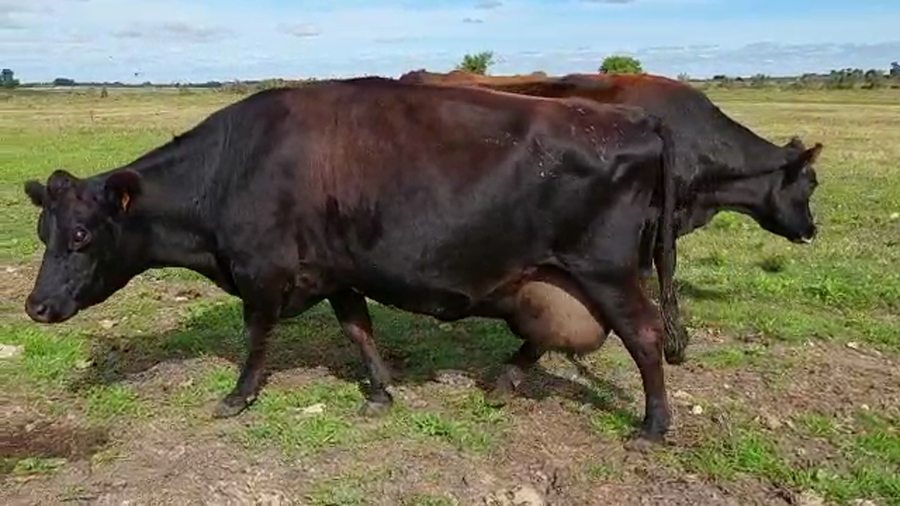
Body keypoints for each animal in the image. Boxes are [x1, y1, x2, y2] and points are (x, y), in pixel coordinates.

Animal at [23, 77, 682, 447]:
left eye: (80, 234)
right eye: (42, 230)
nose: (36, 306)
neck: (230, 170)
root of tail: (638, 120)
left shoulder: (263, 273)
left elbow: (256, 338)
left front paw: (238, 396)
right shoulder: (336, 270)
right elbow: (357, 329)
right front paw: (381, 392)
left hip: (605, 272)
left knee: (645, 335)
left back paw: (652, 427)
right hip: (551, 277)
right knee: (549, 334)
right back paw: (504, 382)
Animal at [399, 69, 824, 372]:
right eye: (812, 183)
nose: (811, 231)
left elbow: (663, 268)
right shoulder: (651, 219)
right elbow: (660, 268)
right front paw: (674, 342)